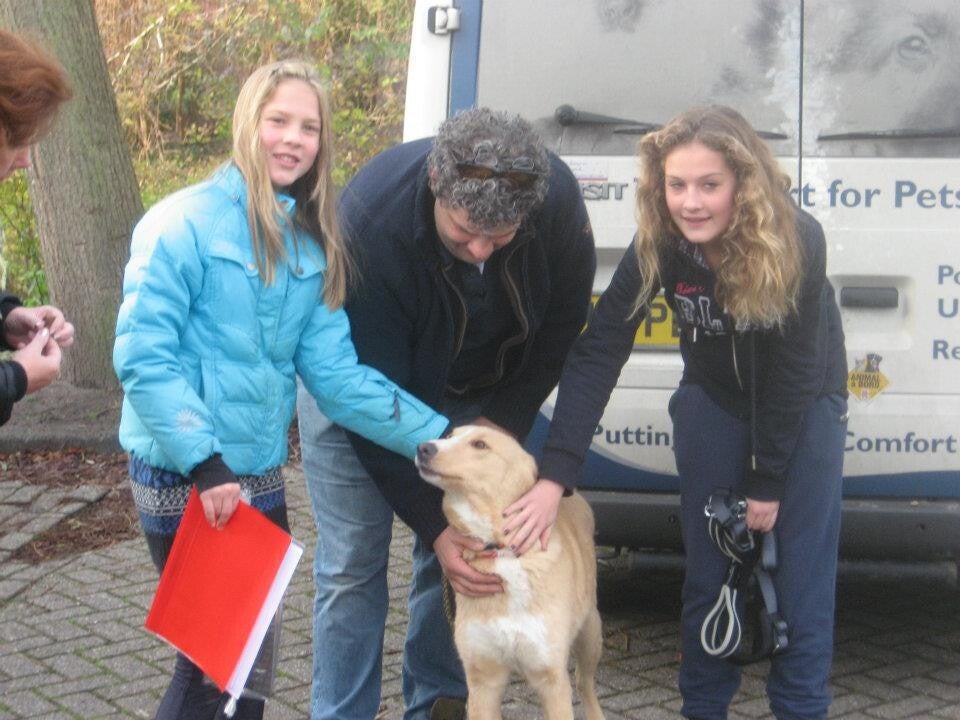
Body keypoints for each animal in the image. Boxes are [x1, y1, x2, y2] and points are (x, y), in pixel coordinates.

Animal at [416, 426, 604, 720]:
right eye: (449, 436)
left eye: (480, 445)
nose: (423, 447)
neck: (500, 550)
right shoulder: (483, 680)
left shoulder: (551, 678)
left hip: (590, 632)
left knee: (584, 682)